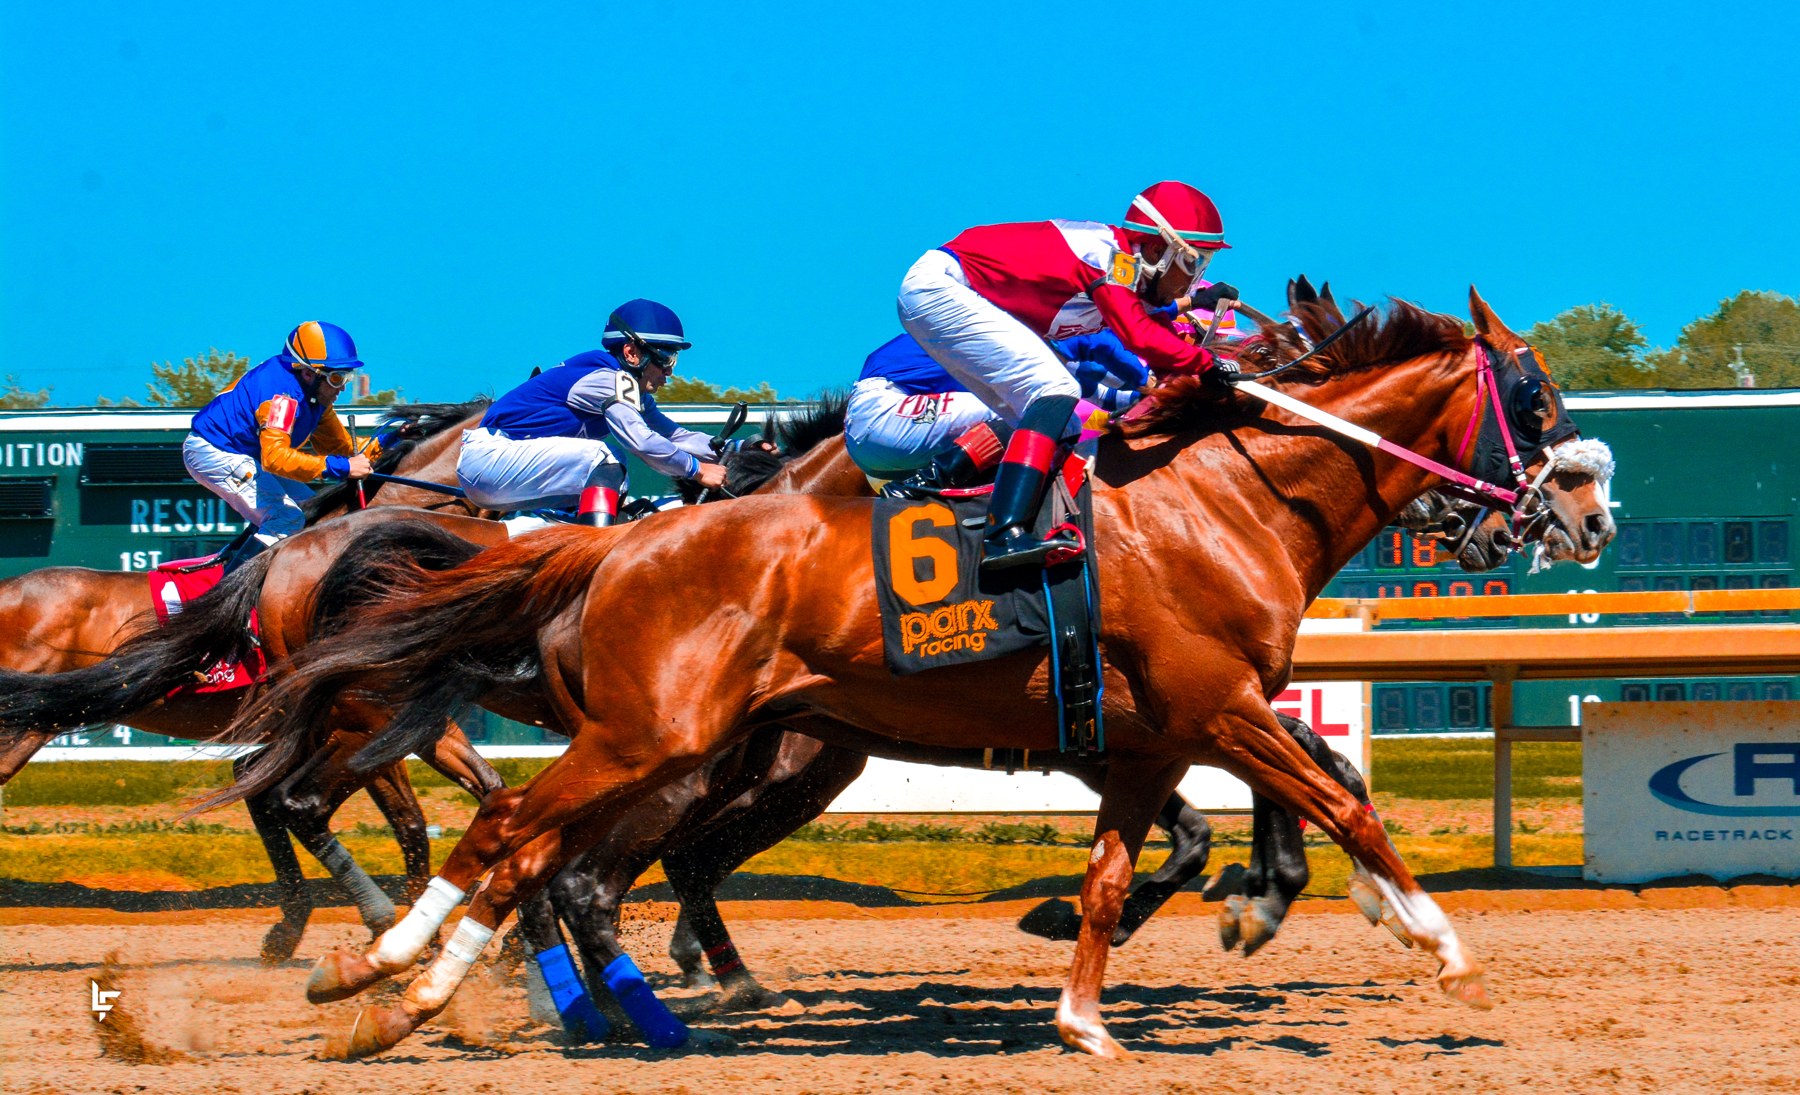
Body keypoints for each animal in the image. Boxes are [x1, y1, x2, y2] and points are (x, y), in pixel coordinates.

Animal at [210, 288, 1616, 1058]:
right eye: (1539, 401)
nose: (1581, 514)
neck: (1222, 493)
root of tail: (610, 551)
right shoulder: (1212, 703)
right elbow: (1339, 797)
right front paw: (1430, 936)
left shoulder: (1155, 733)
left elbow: (1138, 863)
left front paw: (1093, 1002)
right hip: (653, 740)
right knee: (503, 836)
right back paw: (398, 973)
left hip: (713, 749)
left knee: (548, 859)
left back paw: (495, 994)